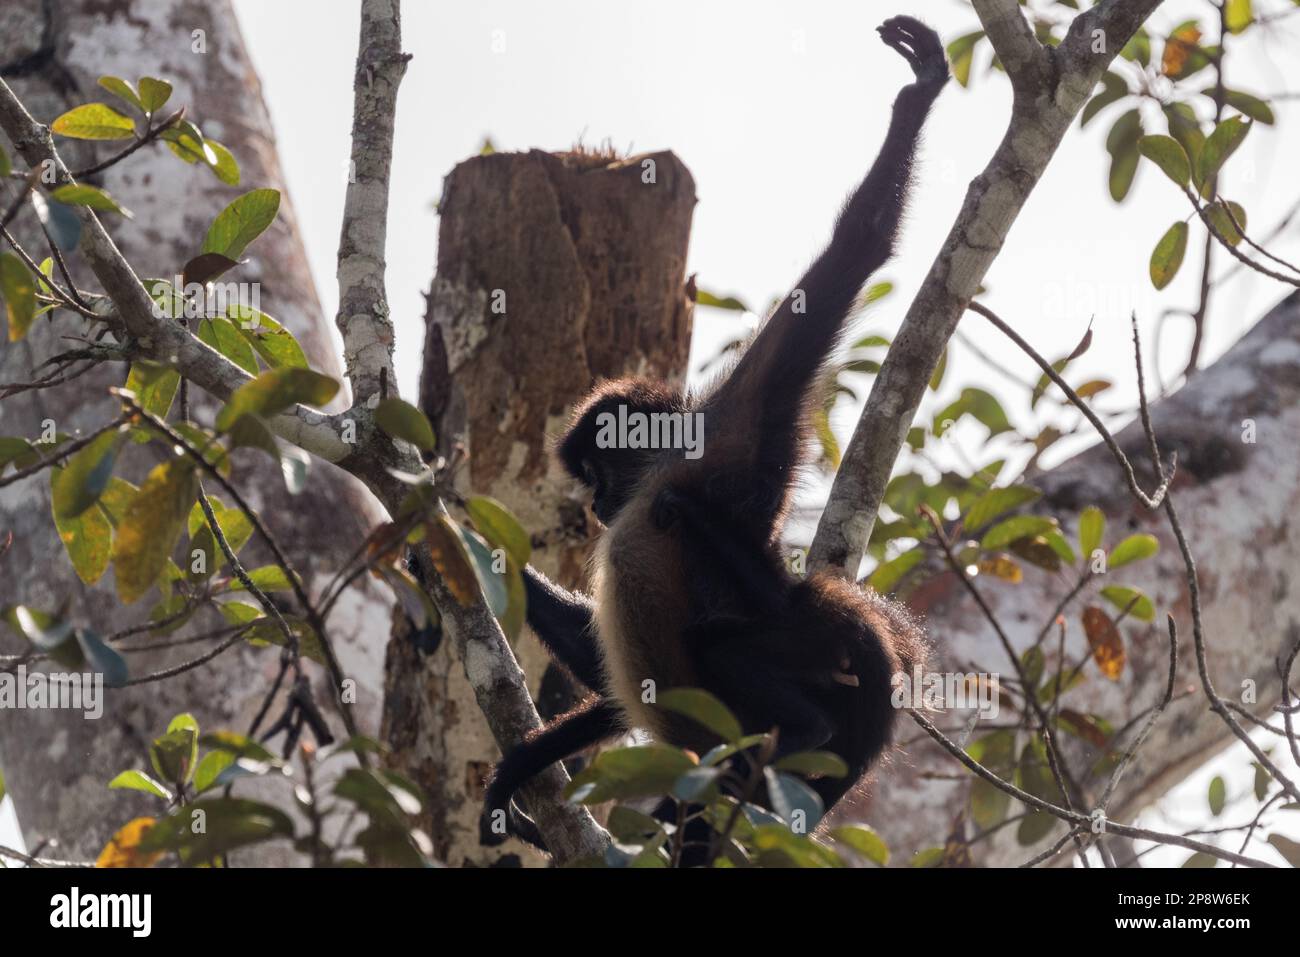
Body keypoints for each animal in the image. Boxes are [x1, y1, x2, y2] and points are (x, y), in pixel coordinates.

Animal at [478, 13, 946, 852]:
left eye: (598, 473)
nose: (596, 507)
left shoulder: (729, 427)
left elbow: (856, 251)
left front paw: (917, 94)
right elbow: (600, 671)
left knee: (736, 654)